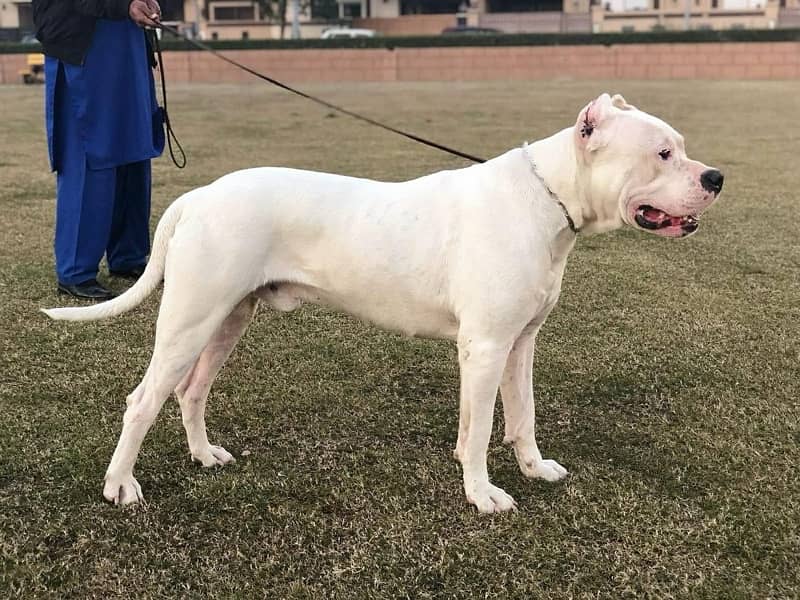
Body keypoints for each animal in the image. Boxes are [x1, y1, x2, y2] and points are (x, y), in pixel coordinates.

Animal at [43, 92, 724, 510]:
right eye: (663, 153)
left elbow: (518, 416)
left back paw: (204, 455)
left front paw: (532, 469)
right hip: (189, 321)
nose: (715, 177)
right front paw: (484, 494)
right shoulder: (484, 348)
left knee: (190, 392)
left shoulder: (518, 343)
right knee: (142, 401)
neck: (549, 197)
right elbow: (484, 429)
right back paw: (120, 485)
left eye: (683, 147)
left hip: (227, 320)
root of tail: (198, 196)